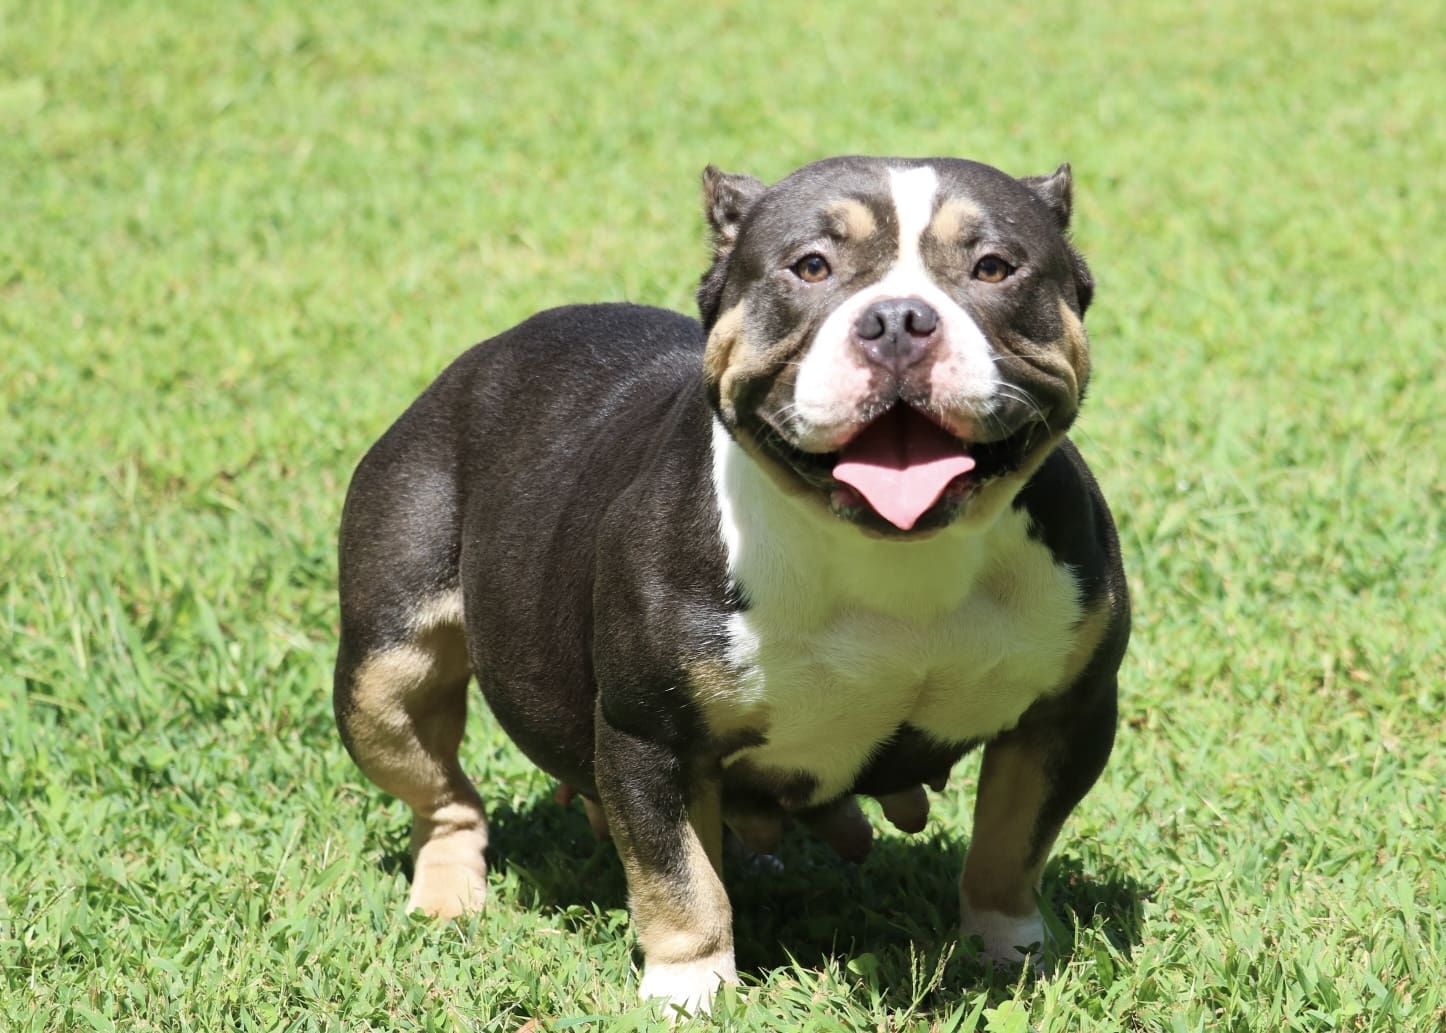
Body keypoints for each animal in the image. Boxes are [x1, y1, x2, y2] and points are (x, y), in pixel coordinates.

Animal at [335, 154, 1127, 1012]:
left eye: (994, 267)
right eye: (810, 266)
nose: (898, 320)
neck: (890, 550)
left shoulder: (1064, 715)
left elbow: (1010, 848)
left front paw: (1010, 953)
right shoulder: (651, 734)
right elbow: (679, 879)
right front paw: (688, 987)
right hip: (383, 678)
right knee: (446, 796)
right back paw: (449, 896)